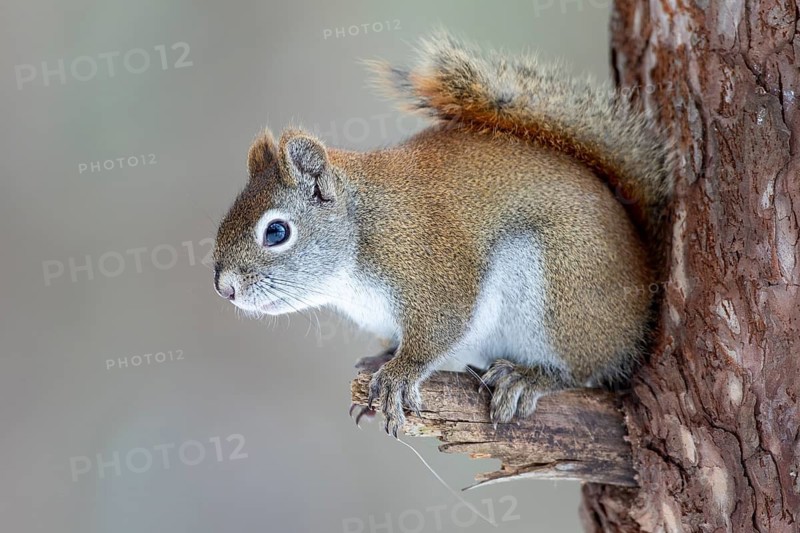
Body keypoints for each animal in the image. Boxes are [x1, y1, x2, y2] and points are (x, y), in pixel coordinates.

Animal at [212, 31, 673, 436]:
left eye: (276, 232)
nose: (224, 289)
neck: (363, 230)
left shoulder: (433, 271)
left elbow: (438, 330)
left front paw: (399, 375)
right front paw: (378, 367)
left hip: (563, 295)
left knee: (581, 369)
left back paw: (529, 378)